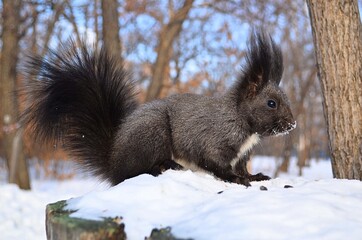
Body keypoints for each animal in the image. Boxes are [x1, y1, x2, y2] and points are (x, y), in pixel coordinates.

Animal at [21, 30, 294, 187]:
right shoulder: (213, 139)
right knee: (136, 170)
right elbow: (215, 164)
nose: (293, 124)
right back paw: (164, 166)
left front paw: (253, 177)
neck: (242, 121)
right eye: (271, 103)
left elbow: (241, 167)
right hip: (152, 133)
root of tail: (114, 160)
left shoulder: (242, 154)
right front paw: (235, 179)